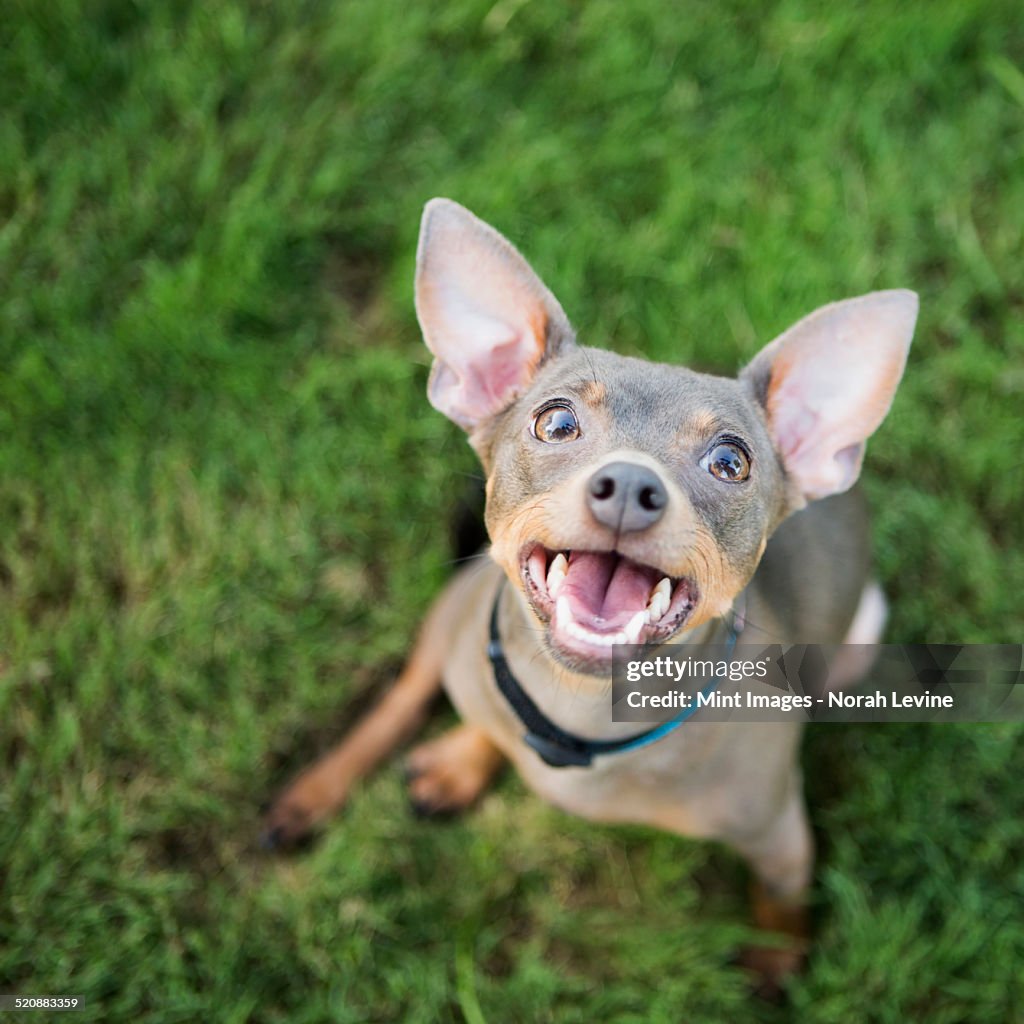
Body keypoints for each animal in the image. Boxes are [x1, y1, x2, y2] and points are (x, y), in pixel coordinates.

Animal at [264, 197, 921, 991]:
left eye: (731, 461)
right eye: (555, 422)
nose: (631, 487)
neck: (575, 717)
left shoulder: (780, 838)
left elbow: (780, 901)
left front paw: (775, 961)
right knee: (406, 695)